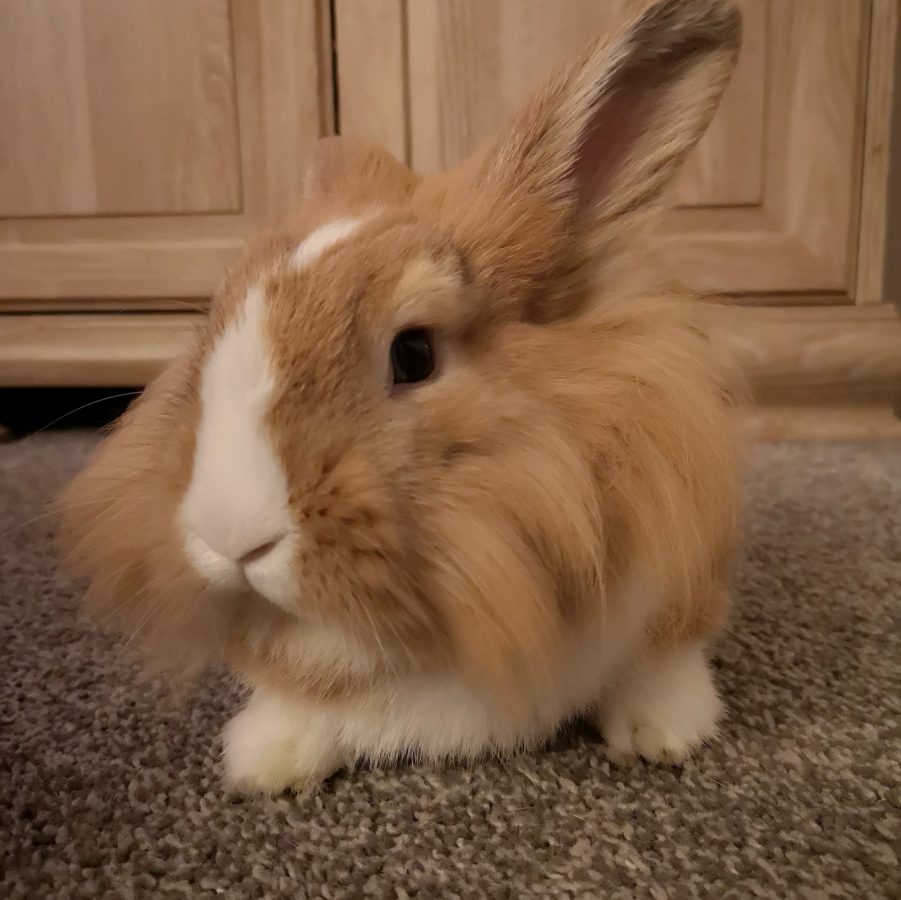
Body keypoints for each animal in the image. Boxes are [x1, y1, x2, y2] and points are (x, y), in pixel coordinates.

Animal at [58, 0, 744, 794]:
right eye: (213, 323)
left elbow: (659, 663)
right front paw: (266, 758)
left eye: (413, 354)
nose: (231, 539)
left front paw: (664, 733)